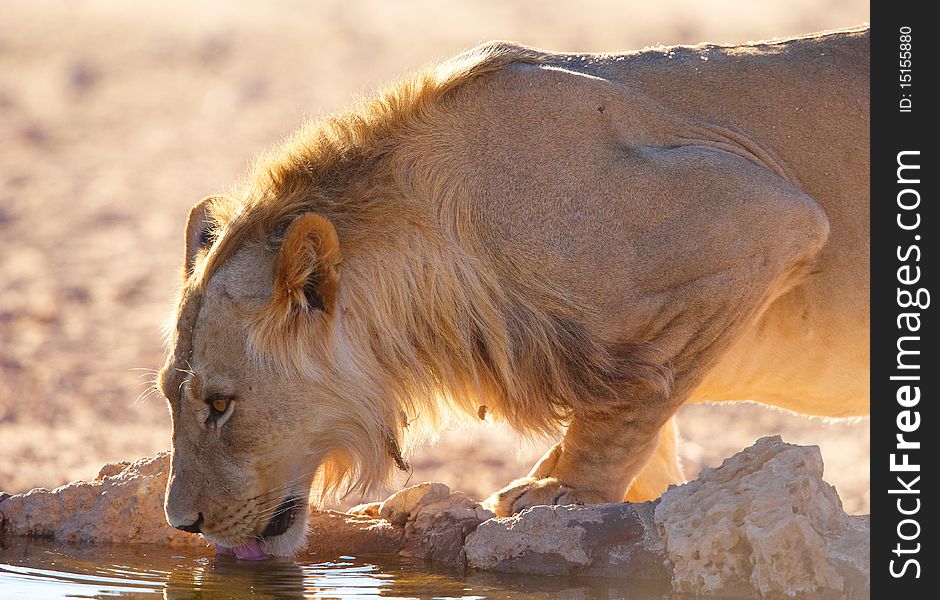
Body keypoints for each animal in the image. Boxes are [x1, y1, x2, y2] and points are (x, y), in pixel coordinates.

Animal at [158, 25, 872, 556]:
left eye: (219, 405)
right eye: (170, 394)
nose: (182, 524)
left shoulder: (766, 217)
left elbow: (630, 402)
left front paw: (558, 494)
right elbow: (646, 426)